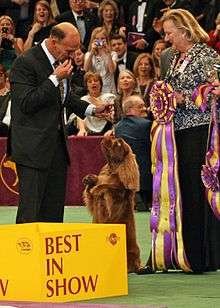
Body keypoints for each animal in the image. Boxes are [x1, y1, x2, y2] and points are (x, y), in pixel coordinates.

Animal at [82, 136, 141, 274]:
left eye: (118, 143)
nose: (106, 136)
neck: (111, 169)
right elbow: (91, 191)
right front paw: (90, 179)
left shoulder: (117, 196)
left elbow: (110, 186)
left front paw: (97, 188)